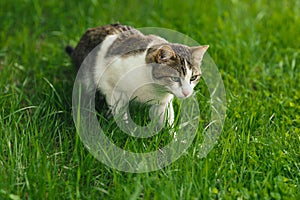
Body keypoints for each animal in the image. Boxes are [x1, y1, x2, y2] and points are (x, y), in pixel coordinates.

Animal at [66, 23, 209, 129]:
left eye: (193, 78)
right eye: (175, 78)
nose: (187, 92)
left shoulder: (163, 103)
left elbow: (167, 121)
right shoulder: (111, 83)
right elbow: (120, 111)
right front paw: (125, 131)